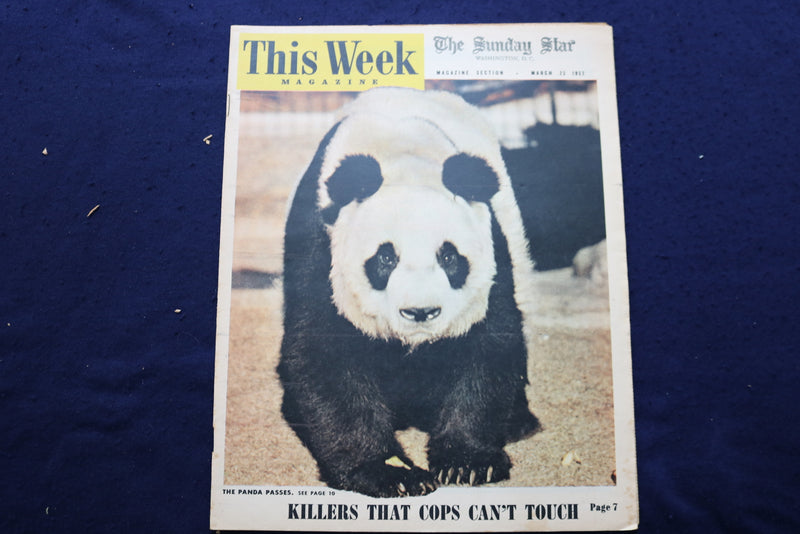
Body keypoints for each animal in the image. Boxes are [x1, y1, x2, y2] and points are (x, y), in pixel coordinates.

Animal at [277, 87, 539, 498]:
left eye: (449, 256)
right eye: (386, 257)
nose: (420, 312)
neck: (401, 156)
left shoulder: (493, 254)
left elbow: (488, 345)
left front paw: (468, 462)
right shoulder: (320, 247)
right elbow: (323, 356)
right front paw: (390, 472)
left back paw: (519, 421)